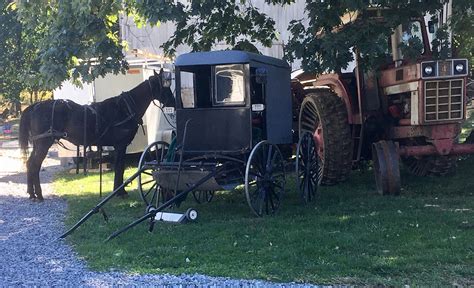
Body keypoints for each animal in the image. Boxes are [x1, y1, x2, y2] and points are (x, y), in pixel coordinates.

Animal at [19, 69, 176, 200]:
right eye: (165, 87)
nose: (174, 102)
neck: (124, 108)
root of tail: (34, 106)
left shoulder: (118, 146)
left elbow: (119, 168)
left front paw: (117, 190)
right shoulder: (121, 145)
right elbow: (120, 168)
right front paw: (120, 192)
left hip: (38, 144)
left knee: (29, 163)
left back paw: (31, 193)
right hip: (43, 143)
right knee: (35, 165)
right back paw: (38, 194)